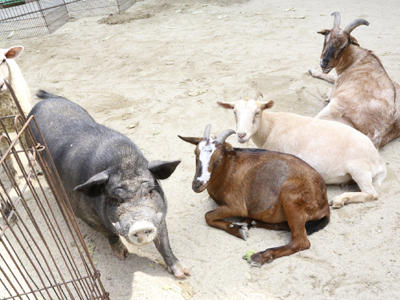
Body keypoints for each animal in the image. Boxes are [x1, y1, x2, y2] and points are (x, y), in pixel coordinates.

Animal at [28, 91, 191, 278]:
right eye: (114, 199)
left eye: (150, 191)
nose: (141, 225)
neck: (123, 161)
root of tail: (45, 100)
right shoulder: (84, 214)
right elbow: (110, 234)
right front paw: (122, 256)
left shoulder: (159, 213)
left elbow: (164, 242)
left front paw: (184, 273)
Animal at [180, 124, 330, 264]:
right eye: (196, 153)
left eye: (218, 158)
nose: (197, 184)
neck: (228, 170)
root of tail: (325, 205)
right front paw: (239, 227)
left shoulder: (237, 206)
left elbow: (208, 216)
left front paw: (239, 231)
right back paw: (250, 222)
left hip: (290, 193)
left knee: (301, 242)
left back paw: (261, 255)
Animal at [217, 92, 386, 209]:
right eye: (234, 112)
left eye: (257, 112)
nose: (241, 135)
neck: (270, 127)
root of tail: (379, 163)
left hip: (360, 170)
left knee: (372, 194)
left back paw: (340, 200)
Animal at [310, 11, 400, 149]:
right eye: (326, 39)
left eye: (344, 46)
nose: (324, 63)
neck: (358, 60)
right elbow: (331, 76)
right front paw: (312, 70)